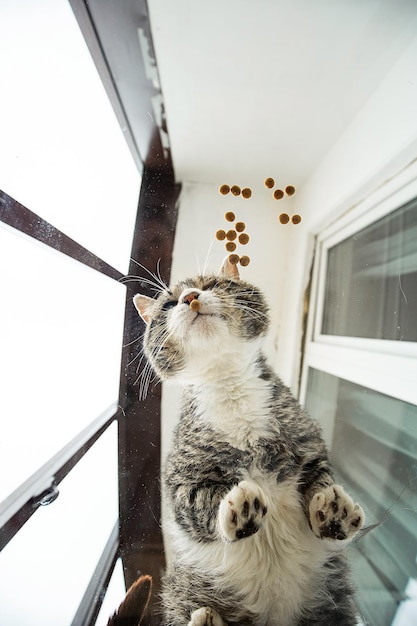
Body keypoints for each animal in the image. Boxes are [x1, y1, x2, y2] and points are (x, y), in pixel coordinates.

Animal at [133, 256, 364, 620]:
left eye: (212, 284)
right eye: (168, 304)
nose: (190, 297)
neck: (229, 386)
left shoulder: (310, 443)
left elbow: (320, 473)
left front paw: (331, 508)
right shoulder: (179, 481)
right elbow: (196, 503)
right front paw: (238, 506)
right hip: (180, 594)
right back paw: (207, 619)